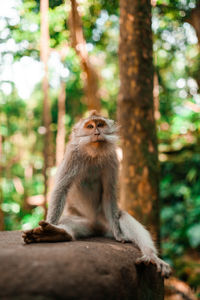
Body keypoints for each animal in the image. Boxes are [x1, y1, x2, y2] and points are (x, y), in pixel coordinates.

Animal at [22, 110, 171, 278]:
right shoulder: (72, 155)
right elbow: (61, 188)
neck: (93, 154)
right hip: (83, 221)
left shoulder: (113, 158)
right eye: (90, 126)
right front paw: (49, 225)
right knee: (68, 221)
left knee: (121, 216)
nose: (97, 133)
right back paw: (55, 233)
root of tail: (95, 226)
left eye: (100, 124)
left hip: (106, 223)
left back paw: (150, 255)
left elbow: (109, 194)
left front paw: (120, 235)